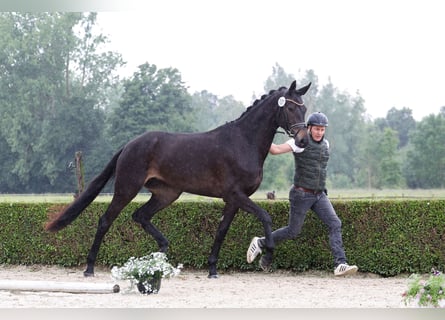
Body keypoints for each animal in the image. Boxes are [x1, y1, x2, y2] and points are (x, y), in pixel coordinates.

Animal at [45, 80, 308, 278]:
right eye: (290, 108)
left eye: (304, 109)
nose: (303, 140)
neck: (243, 142)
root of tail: (130, 145)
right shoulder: (236, 195)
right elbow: (265, 216)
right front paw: (267, 258)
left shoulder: (234, 200)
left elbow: (221, 231)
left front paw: (212, 269)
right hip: (126, 188)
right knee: (105, 221)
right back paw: (89, 268)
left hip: (167, 194)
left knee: (140, 216)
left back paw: (161, 253)